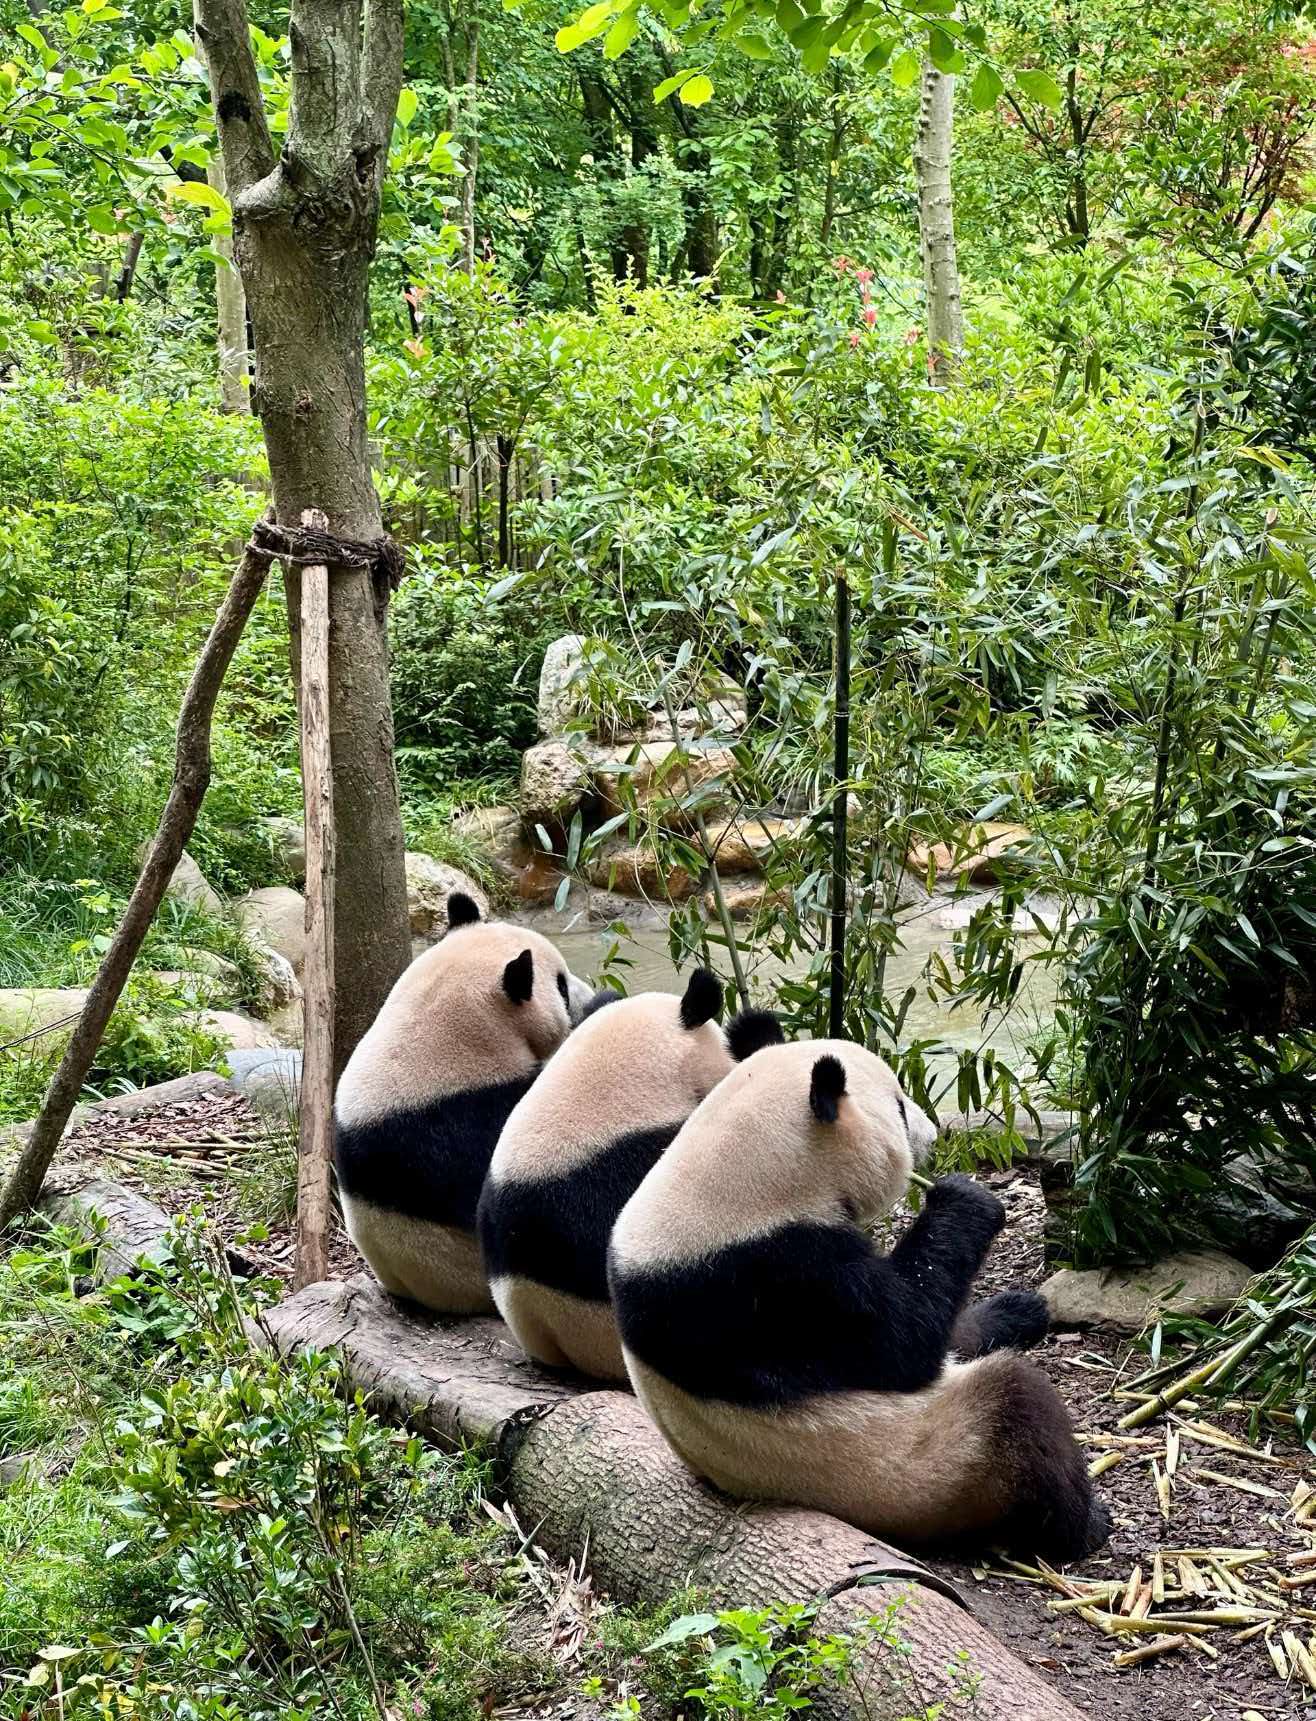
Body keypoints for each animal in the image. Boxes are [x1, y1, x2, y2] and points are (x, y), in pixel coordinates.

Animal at [608, 1038, 1110, 1561]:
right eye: (899, 1106)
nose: (934, 1137)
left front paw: (1015, 1309)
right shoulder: (778, 1279)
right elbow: (903, 1341)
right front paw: (966, 1198)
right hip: (926, 1468)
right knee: (1019, 1408)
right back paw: (1083, 1524)